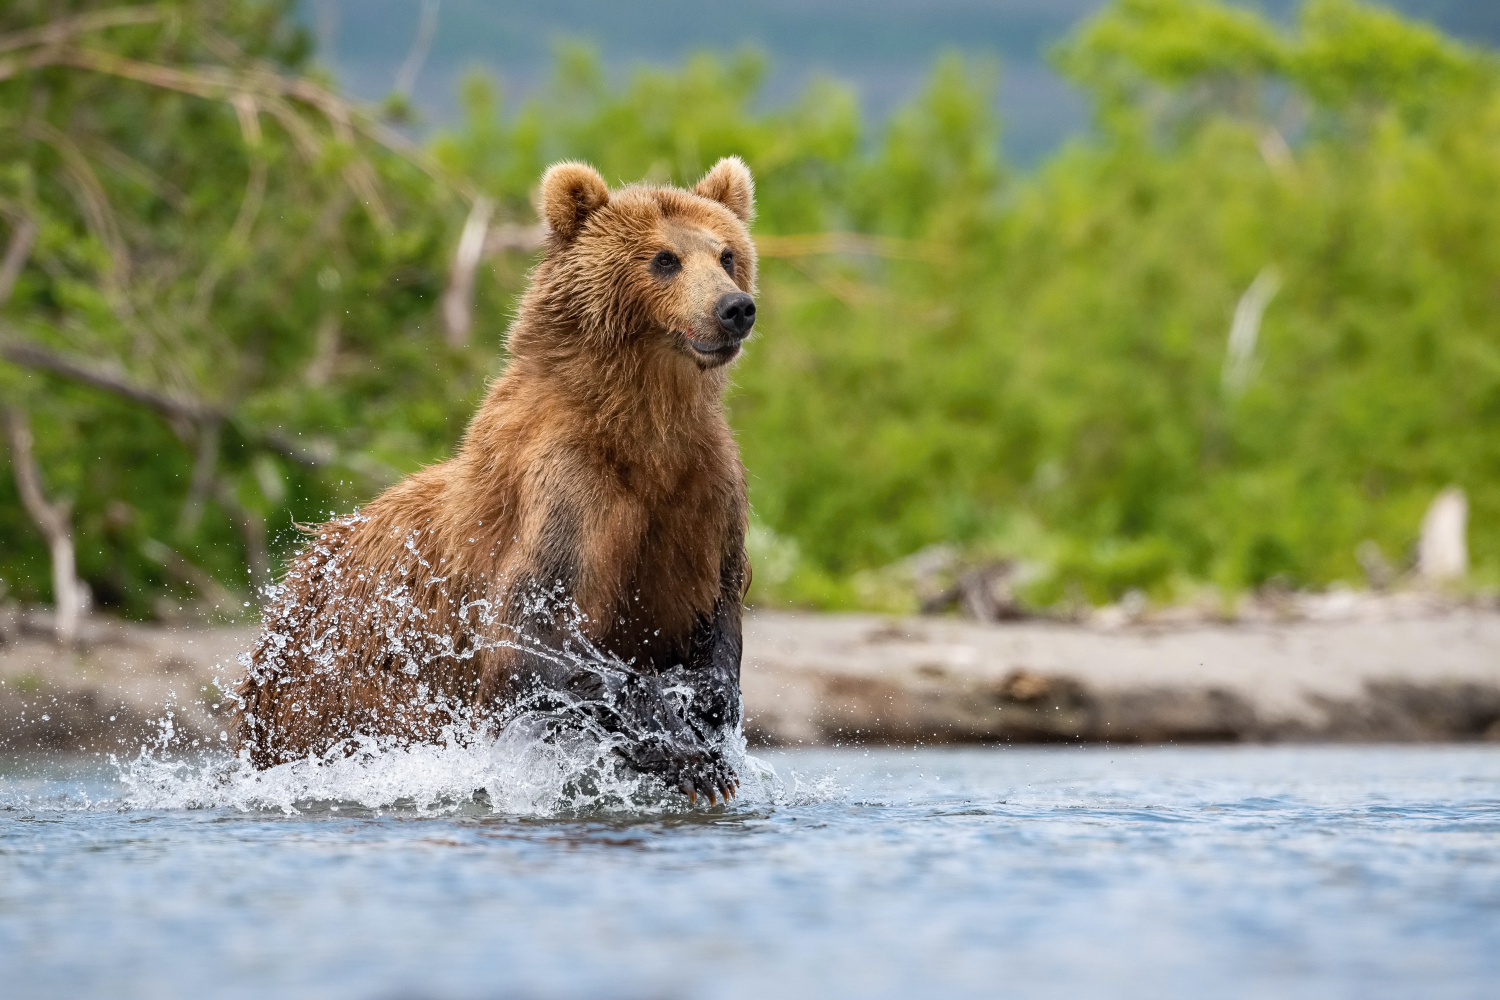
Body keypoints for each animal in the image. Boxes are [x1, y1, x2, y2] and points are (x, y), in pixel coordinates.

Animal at [237, 158, 762, 803]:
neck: (642, 424)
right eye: (664, 258)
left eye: (727, 254)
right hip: (327, 694)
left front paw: (709, 710)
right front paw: (688, 756)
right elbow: (528, 643)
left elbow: (719, 615)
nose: (734, 308)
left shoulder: (707, 492)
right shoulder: (564, 488)